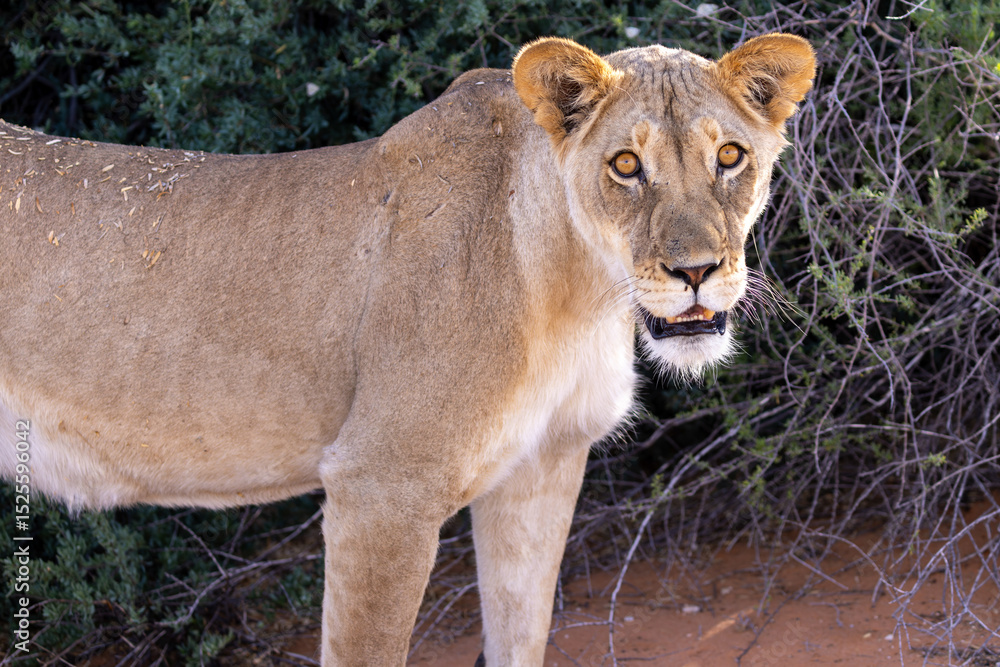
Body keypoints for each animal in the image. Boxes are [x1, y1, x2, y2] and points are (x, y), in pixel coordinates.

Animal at [0, 33, 814, 665]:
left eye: (730, 156)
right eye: (623, 165)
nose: (696, 272)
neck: (579, 290)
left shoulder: (543, 467)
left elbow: (521, 635)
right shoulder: (383, 486)